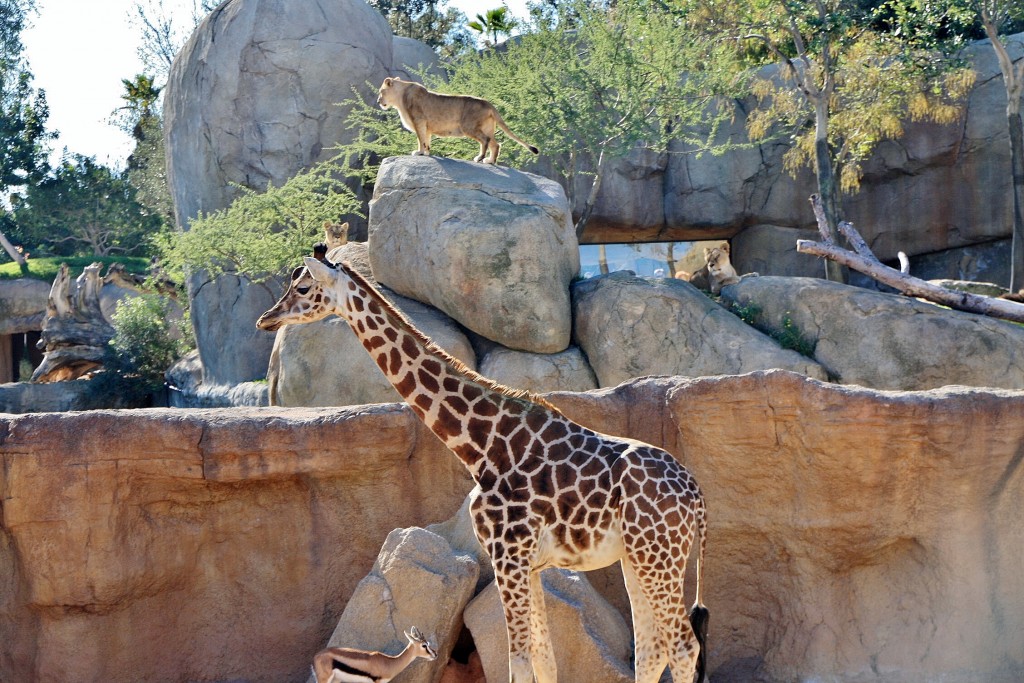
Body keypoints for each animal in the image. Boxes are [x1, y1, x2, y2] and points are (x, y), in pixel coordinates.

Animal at [311, 626, 440, 683]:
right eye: (424, 645)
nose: (435, 654)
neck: (388, 662)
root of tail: (316, 656)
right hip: (324, 680)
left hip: (336, 680)